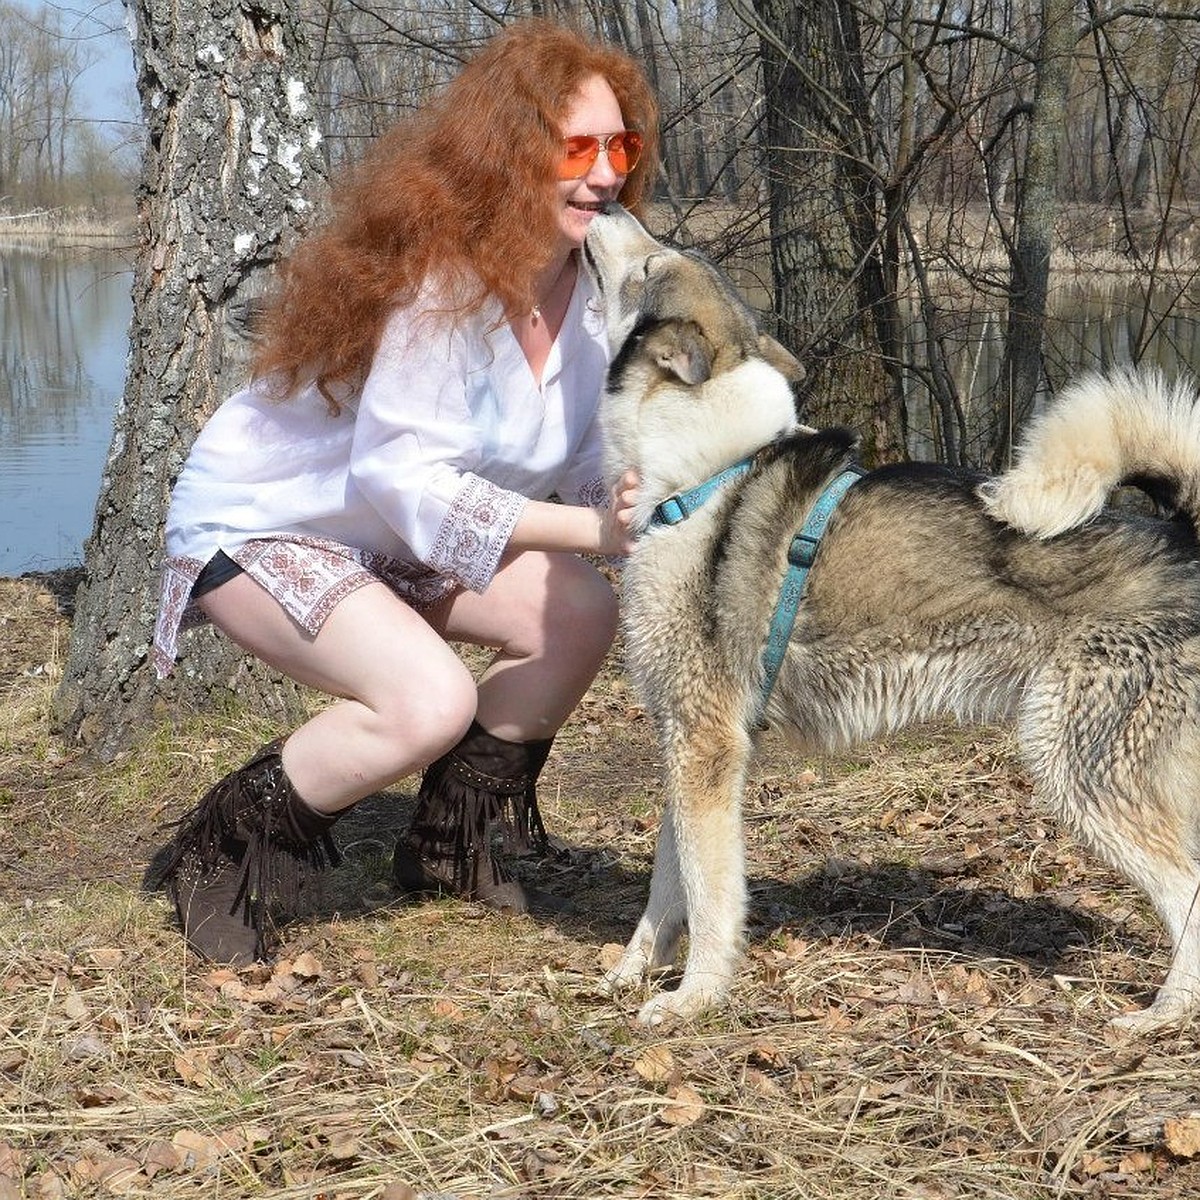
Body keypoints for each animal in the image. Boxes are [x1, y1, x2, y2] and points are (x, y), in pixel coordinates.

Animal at [585, 204, 1200, 1032]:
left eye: (651, 266)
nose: (611, 206)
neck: (701, 474)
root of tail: (1185, 538)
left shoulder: (707, 747)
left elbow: (710, 899)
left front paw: (694, 1000)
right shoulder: (684, 745)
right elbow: (667, 885)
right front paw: (631, 973)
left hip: (1076, 768)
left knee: (1187, 889)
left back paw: (1163, 1015)